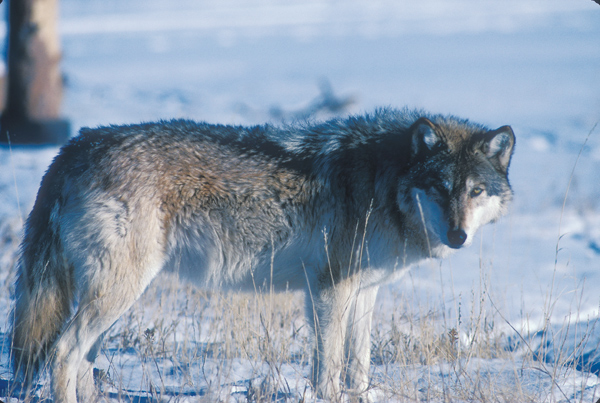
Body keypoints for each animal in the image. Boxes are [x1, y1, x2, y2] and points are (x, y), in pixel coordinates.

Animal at [10, 108, 516, 403]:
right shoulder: (329, 291)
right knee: (63, 352)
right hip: (117, 292)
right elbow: (329, 370)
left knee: (84, 360)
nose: (458, 236)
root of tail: (74, 146)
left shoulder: (362, 293)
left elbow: (358, 365)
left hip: (118, 297)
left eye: (475, 191)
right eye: (439, 189)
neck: (384, 181)